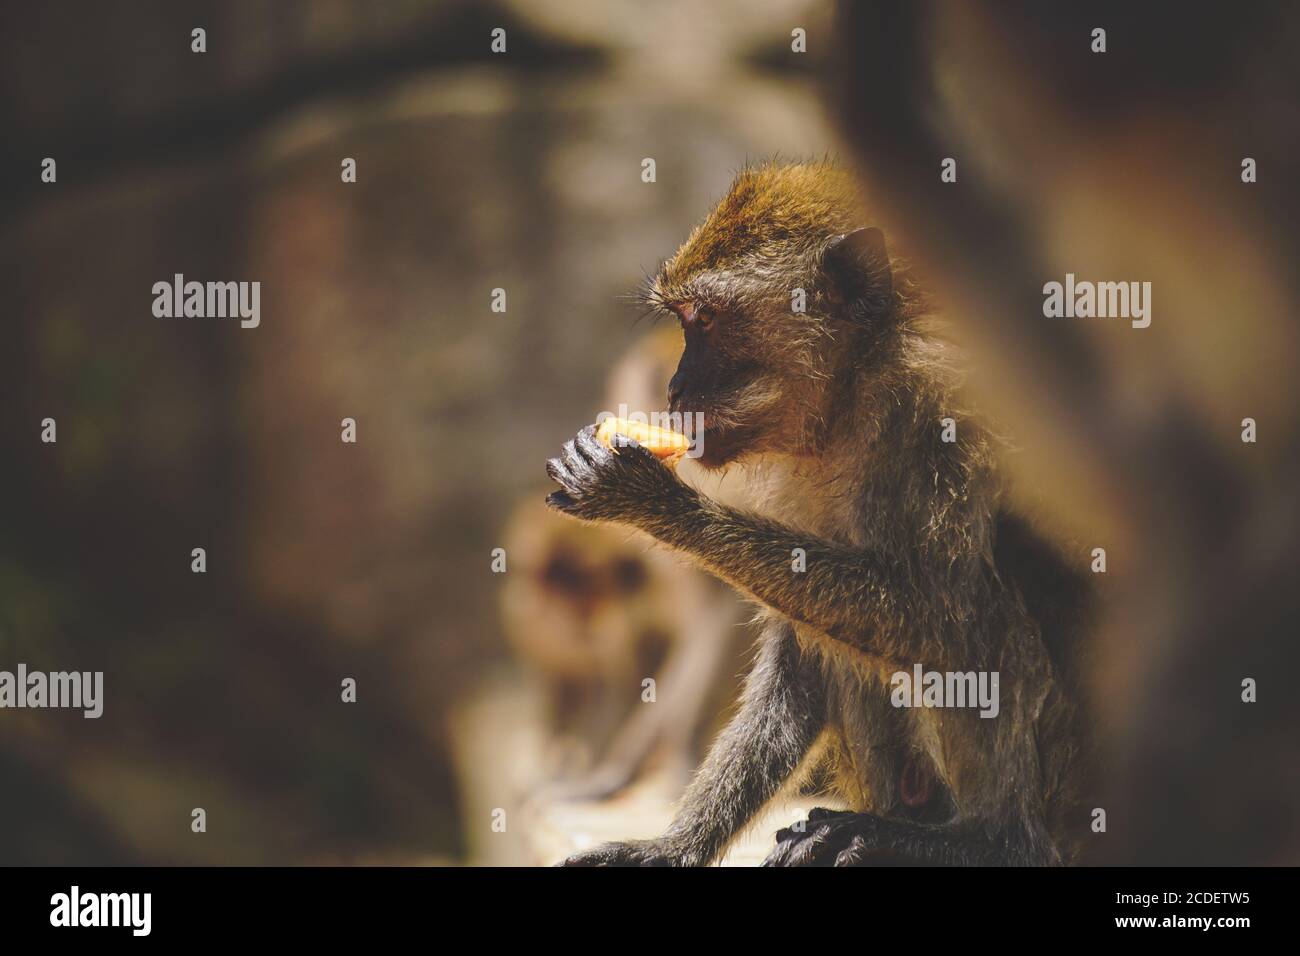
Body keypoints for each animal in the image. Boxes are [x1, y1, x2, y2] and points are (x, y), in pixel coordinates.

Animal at [544, 161, 1094, 866]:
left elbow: (940, 613)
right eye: (686, 322)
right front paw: (672, 849)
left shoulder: (933, 414)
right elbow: (803, 653)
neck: (857, 380)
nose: (674, 387)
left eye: (707, 319)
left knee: (985, 619)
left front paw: (649, 497)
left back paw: (988, 841)